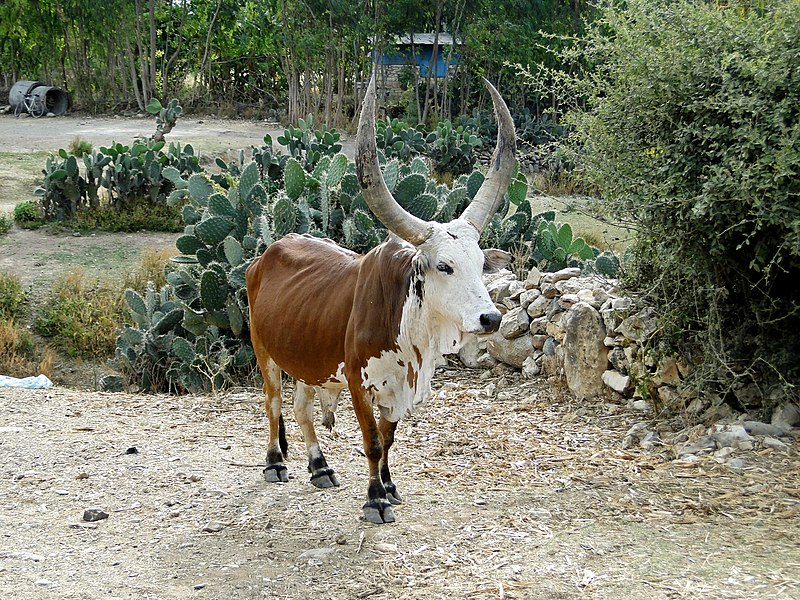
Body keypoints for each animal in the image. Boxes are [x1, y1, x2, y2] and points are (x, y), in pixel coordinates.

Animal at [247, 70, 516, 524]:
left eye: (481, 263)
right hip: (263, 352)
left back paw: (319, 467)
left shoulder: (399, 391)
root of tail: (263, 257)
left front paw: (389, 487)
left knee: (301, 409)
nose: (490, 319)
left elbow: (389, 439)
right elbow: (372, 441)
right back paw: (275, 463)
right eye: (443, 265)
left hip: (306, 359)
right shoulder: (360, 384)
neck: (406, 328)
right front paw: (374, 499)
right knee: (272, 404)